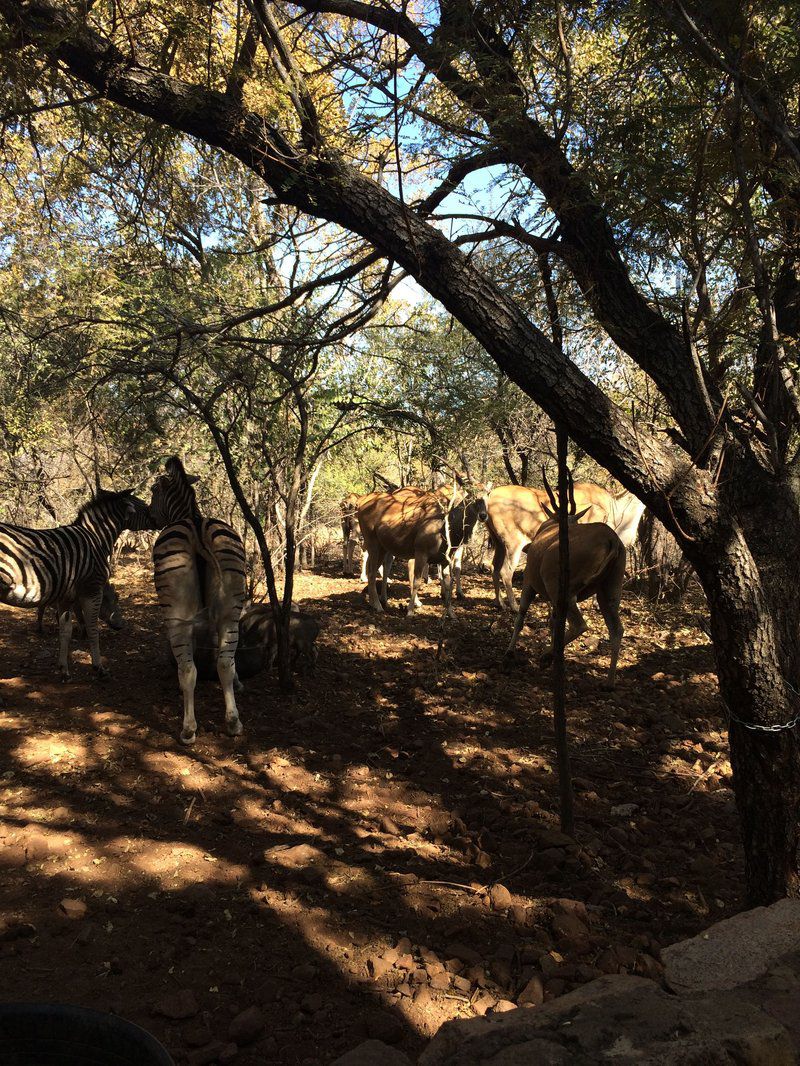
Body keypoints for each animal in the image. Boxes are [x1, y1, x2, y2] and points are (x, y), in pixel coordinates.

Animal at [0, 488, 154, 677]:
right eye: (144, 507)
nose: (122, 626)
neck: (96, 539)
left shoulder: (67, 597)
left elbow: (65, 631)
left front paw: (63, 669)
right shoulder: (92, 589)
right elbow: (92, 627)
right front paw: (98, 667)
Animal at [149, 460, 249, 750]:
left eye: (153, 491)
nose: (149, 517)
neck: (190, 513)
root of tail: (197, 529)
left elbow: (189, 658)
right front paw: (237, 685)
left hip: (176, 616)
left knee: (187, 669)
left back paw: (188, 729)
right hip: (230, 610)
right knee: (225, 663)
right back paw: (233, 722)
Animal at [358, 483, 494, 618]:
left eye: (488, 493)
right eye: (472, 494)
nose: (483, 515)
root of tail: (361, 504)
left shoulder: (445, 558)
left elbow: (449, 580)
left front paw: (451, 611)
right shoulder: (420, 552)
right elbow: (417, 580)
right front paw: (410, 610)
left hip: (383, 547)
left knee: (377, 568)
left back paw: (376, 601)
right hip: (373, 542)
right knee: (372, 571)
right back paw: (378, 605)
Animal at [488, 481, 644, 609]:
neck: (615, 507)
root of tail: (490, 497)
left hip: (499, 544)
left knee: (494, 567)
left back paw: (500, 603)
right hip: (513, 544)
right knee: (505, 571)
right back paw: (514, 606)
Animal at [503, 471, 631, 686]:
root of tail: (611, 539)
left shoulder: (529, 584)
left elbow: (521, 617)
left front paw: (510, 652)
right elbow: (554, 623)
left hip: (565, 593)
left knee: (580, 624)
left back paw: (547, 655)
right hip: (608, 593)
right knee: (617, 629)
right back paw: (609, 682)